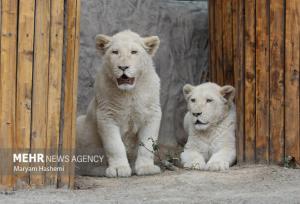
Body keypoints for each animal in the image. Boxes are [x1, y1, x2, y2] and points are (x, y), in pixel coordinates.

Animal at [77, 30, 162, 177]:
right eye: (115, 52)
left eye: (134, 52)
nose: (123, 67)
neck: (129, 93)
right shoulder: (106, 114)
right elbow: (115, 145)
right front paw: (118, 169)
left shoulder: (152, 113)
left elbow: (147, 143)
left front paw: (146, 168)